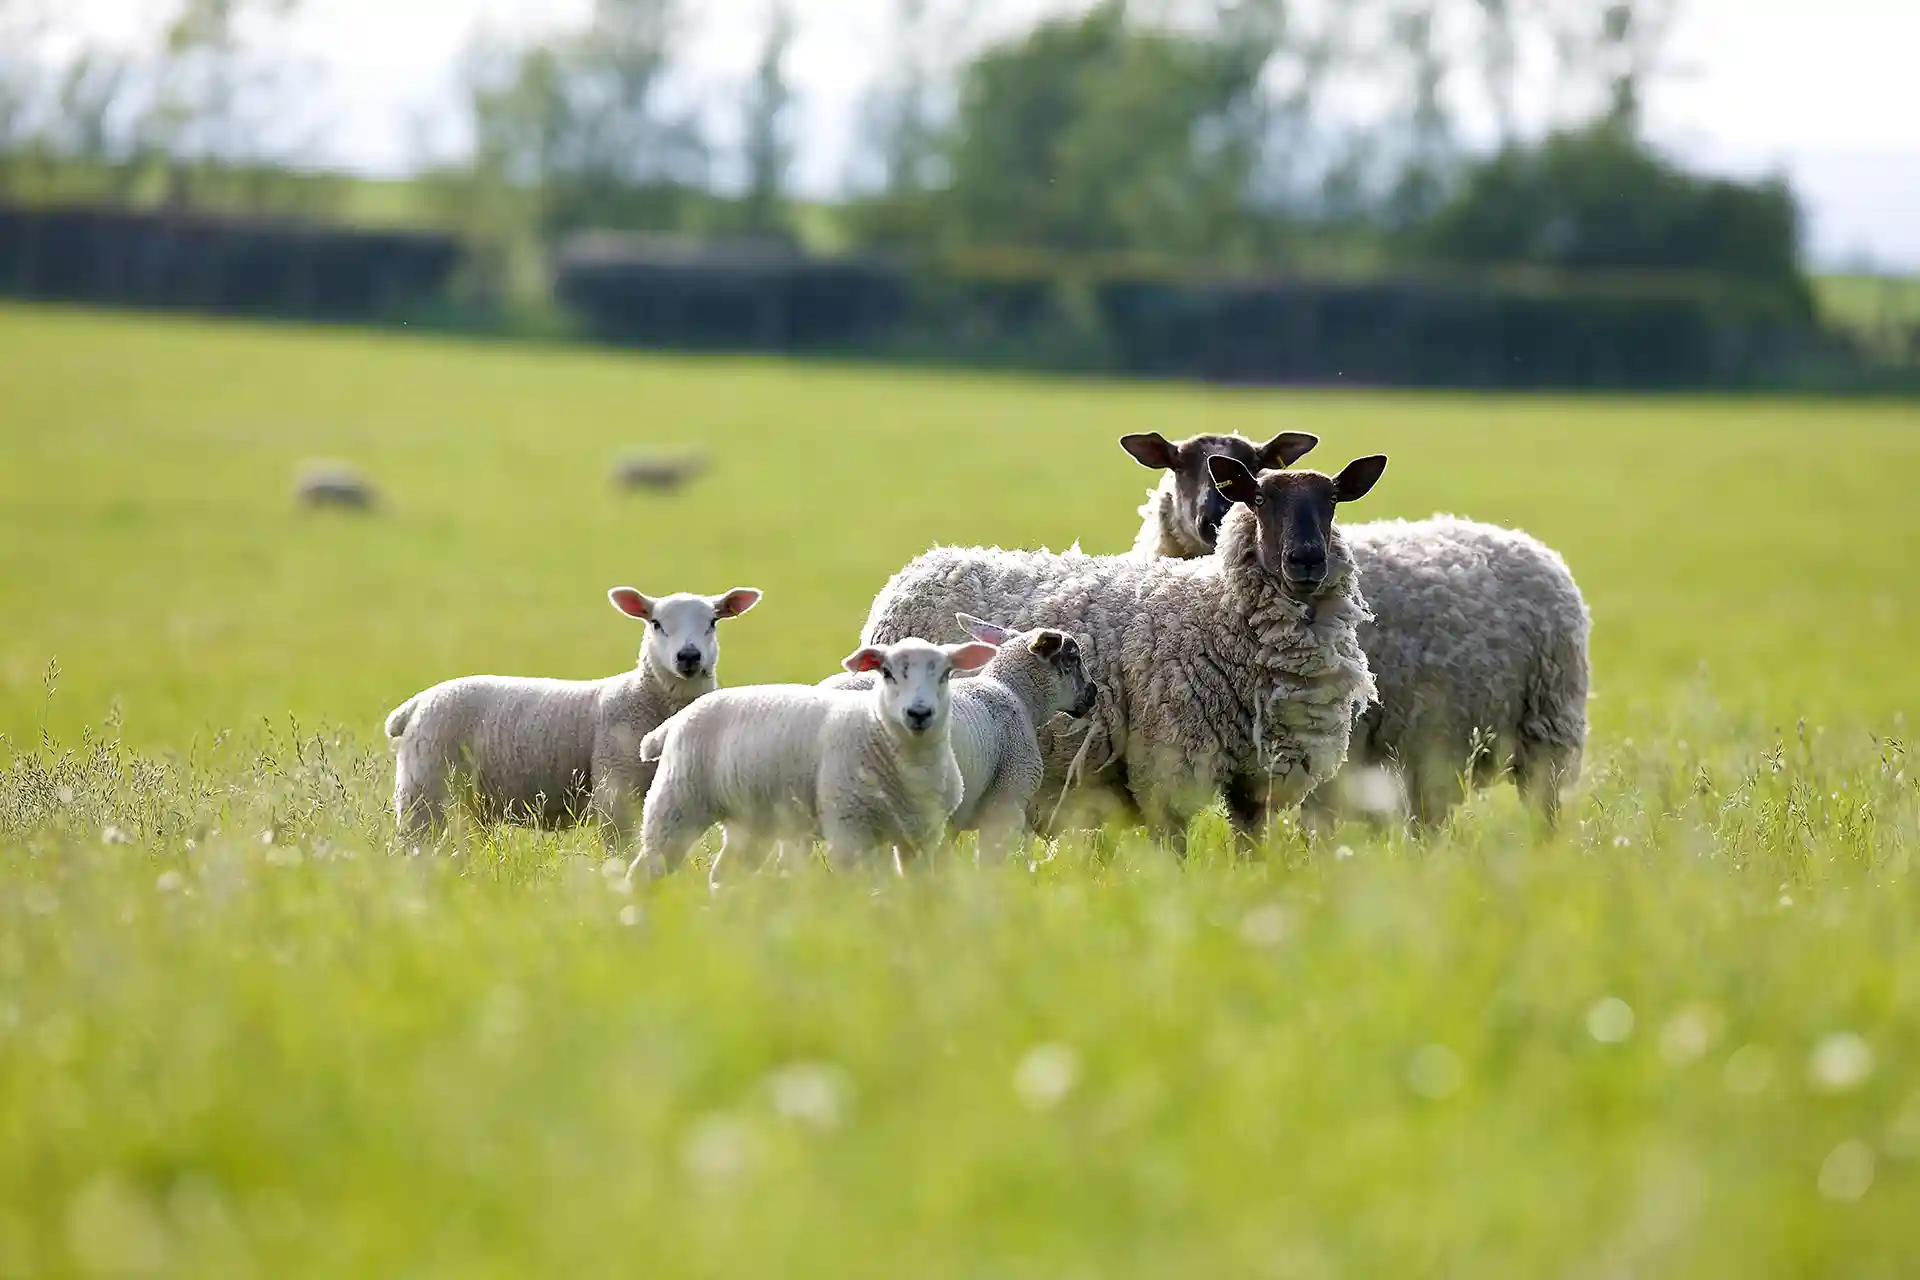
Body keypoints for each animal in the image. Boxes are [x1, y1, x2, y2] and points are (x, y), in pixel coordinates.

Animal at [384, 585, 762, 842]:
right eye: (656, 623)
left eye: (712, 622)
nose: (688, 656)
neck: (644, 698)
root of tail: (415, 705)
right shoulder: (614, 790)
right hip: (423, 790)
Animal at [633, 638, 998, 882]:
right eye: (887, 673)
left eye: (946, 673)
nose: (919, 713)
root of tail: (673, 723)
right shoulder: (848, 831)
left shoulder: (922, 836)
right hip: (676, 802)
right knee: (646, 866)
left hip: (749, 821)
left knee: (725, 875)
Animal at [859, 454, 1388, 852]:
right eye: (1259, 499)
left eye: (1333, 501)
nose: (1306, 560)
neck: (1217, 609)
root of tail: (926, 562)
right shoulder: (1167, 764)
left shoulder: (1257, 783)